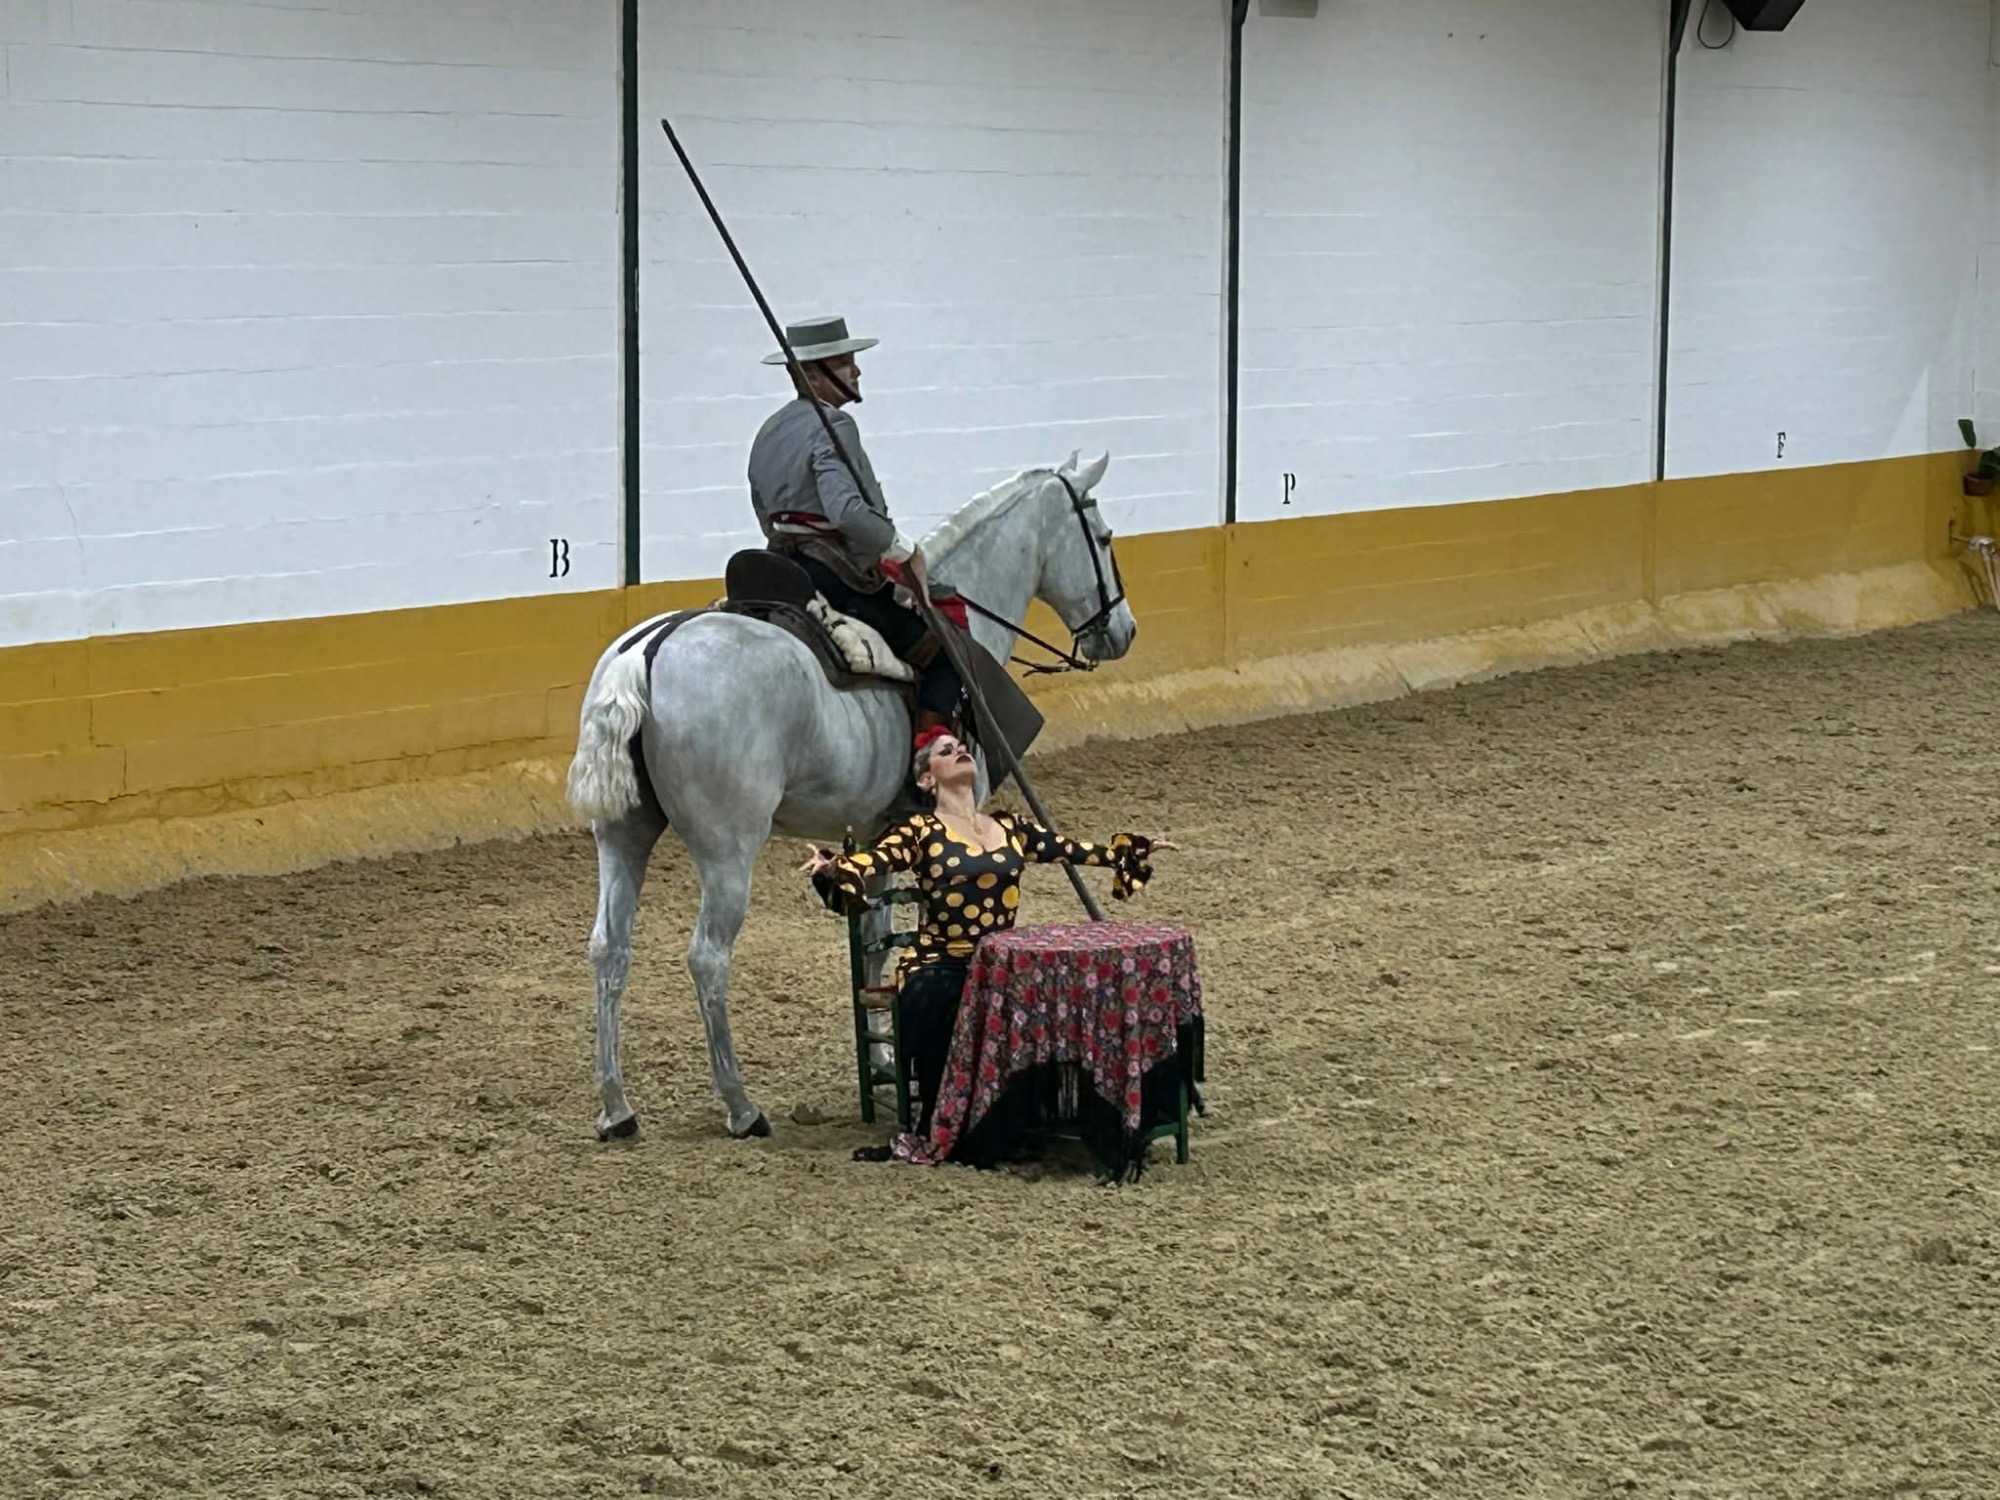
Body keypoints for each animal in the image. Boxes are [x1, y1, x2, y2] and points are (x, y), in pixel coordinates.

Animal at [562, 451, 1136, 1140]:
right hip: (727, 849)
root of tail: (649, 650)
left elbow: (874, 941)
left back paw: (616, 1106)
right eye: (1103, 536)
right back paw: (741, 1106)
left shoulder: (875, 831)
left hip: (623, 836)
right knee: (707, 958)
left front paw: (883, 1053)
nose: (1123, 631)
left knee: (609, 949)